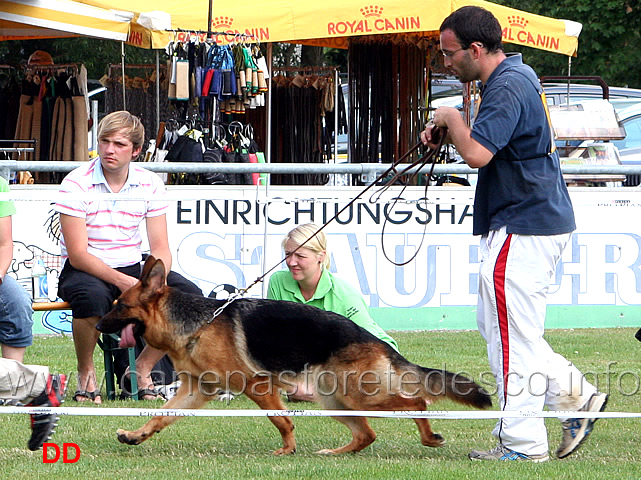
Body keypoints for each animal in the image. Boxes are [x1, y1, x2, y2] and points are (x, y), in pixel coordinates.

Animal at [99, 255, 490, 454]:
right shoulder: (196, 391)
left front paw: (286, 450)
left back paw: (428, 437)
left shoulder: (256, 385)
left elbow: (281, 419)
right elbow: (160, 416)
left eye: (120, 307)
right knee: (367, 435)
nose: (99, 323)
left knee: (417, 402)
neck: (196, 323)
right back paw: (335, 454)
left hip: (356, 395)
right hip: (335, 400)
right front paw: (135, 436)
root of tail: (375, 340)